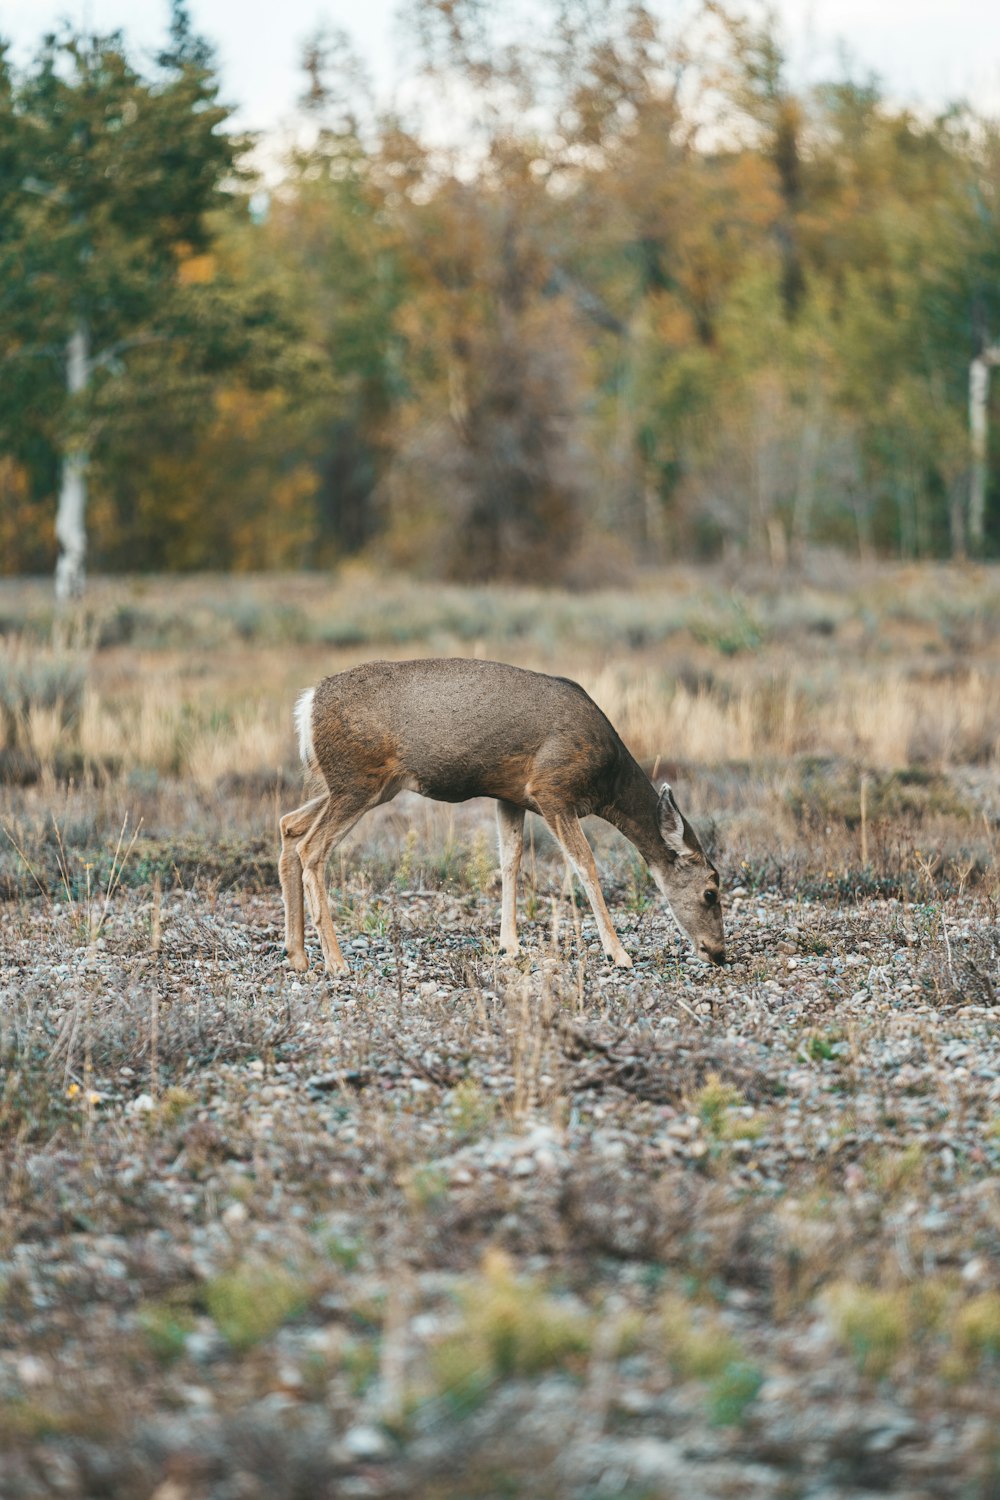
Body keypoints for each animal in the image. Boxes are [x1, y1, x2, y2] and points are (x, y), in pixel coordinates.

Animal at [277, 657, 722, 972]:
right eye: (710, 892)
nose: (719, 952)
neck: (606, 782)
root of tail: (306, 705)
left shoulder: (511, 797)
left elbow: (510, 862)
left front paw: (510, 945)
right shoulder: (552, 789)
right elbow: (585, 866)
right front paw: (619, 953)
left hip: (365, 787)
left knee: (289, 826)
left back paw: (298, 955)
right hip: (356, 780)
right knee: (312, 848)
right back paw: (336, 962)